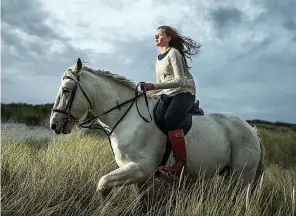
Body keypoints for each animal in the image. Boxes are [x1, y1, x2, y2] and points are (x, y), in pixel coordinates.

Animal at [49, 58, 264, 197]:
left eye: (66, 90)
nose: (54, 124)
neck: (128, 117)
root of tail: (252, 131)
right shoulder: (137, 176)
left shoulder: (142, 168)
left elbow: (103, 185)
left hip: (241, 178)